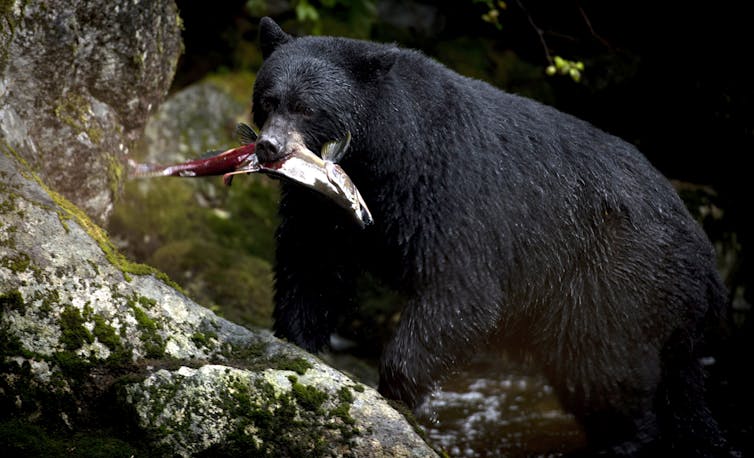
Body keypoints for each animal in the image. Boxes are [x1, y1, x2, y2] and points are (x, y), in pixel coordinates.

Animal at [251, 17, 729, 457]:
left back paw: (626, 441)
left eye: (307, 108)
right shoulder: (323, 207)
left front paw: (397, 396)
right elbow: (311, 266)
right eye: (268, 100)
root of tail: (706, 261)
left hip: (618, 279)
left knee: (608, 371)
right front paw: (298, 343)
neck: (382, 160)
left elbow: (462, 294)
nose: (268, 147)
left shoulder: (451, 196)